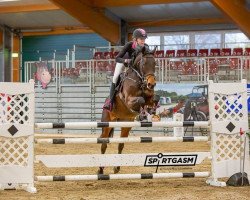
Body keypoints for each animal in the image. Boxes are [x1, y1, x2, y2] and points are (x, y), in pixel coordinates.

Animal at [99, 46, 156, 174]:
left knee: (121, 144)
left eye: (155, 63)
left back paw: (116, 168)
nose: (152, 84)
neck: (140, 80)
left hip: (126, 125)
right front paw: (142, 114)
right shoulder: (129, 100)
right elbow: (140, 100)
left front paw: (149, 111)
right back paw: (100, 170)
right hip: (107, 123)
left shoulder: (149, 96)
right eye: (144, 63)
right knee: (104, 143)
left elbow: (153, 99)